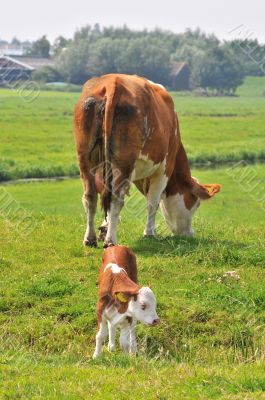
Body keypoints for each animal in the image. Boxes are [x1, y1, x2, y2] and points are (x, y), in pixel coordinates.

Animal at [73, 72, 220, 247]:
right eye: (195, 202)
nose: (190, 234)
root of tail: (112, 81)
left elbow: (104, 194)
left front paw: (104, 228)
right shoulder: (165, 168)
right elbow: (153, 202)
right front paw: (149, 232)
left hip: (85, 158)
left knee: (90, 197)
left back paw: (90, 238)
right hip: (124, 163)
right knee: (116, 198)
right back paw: (111, 240)